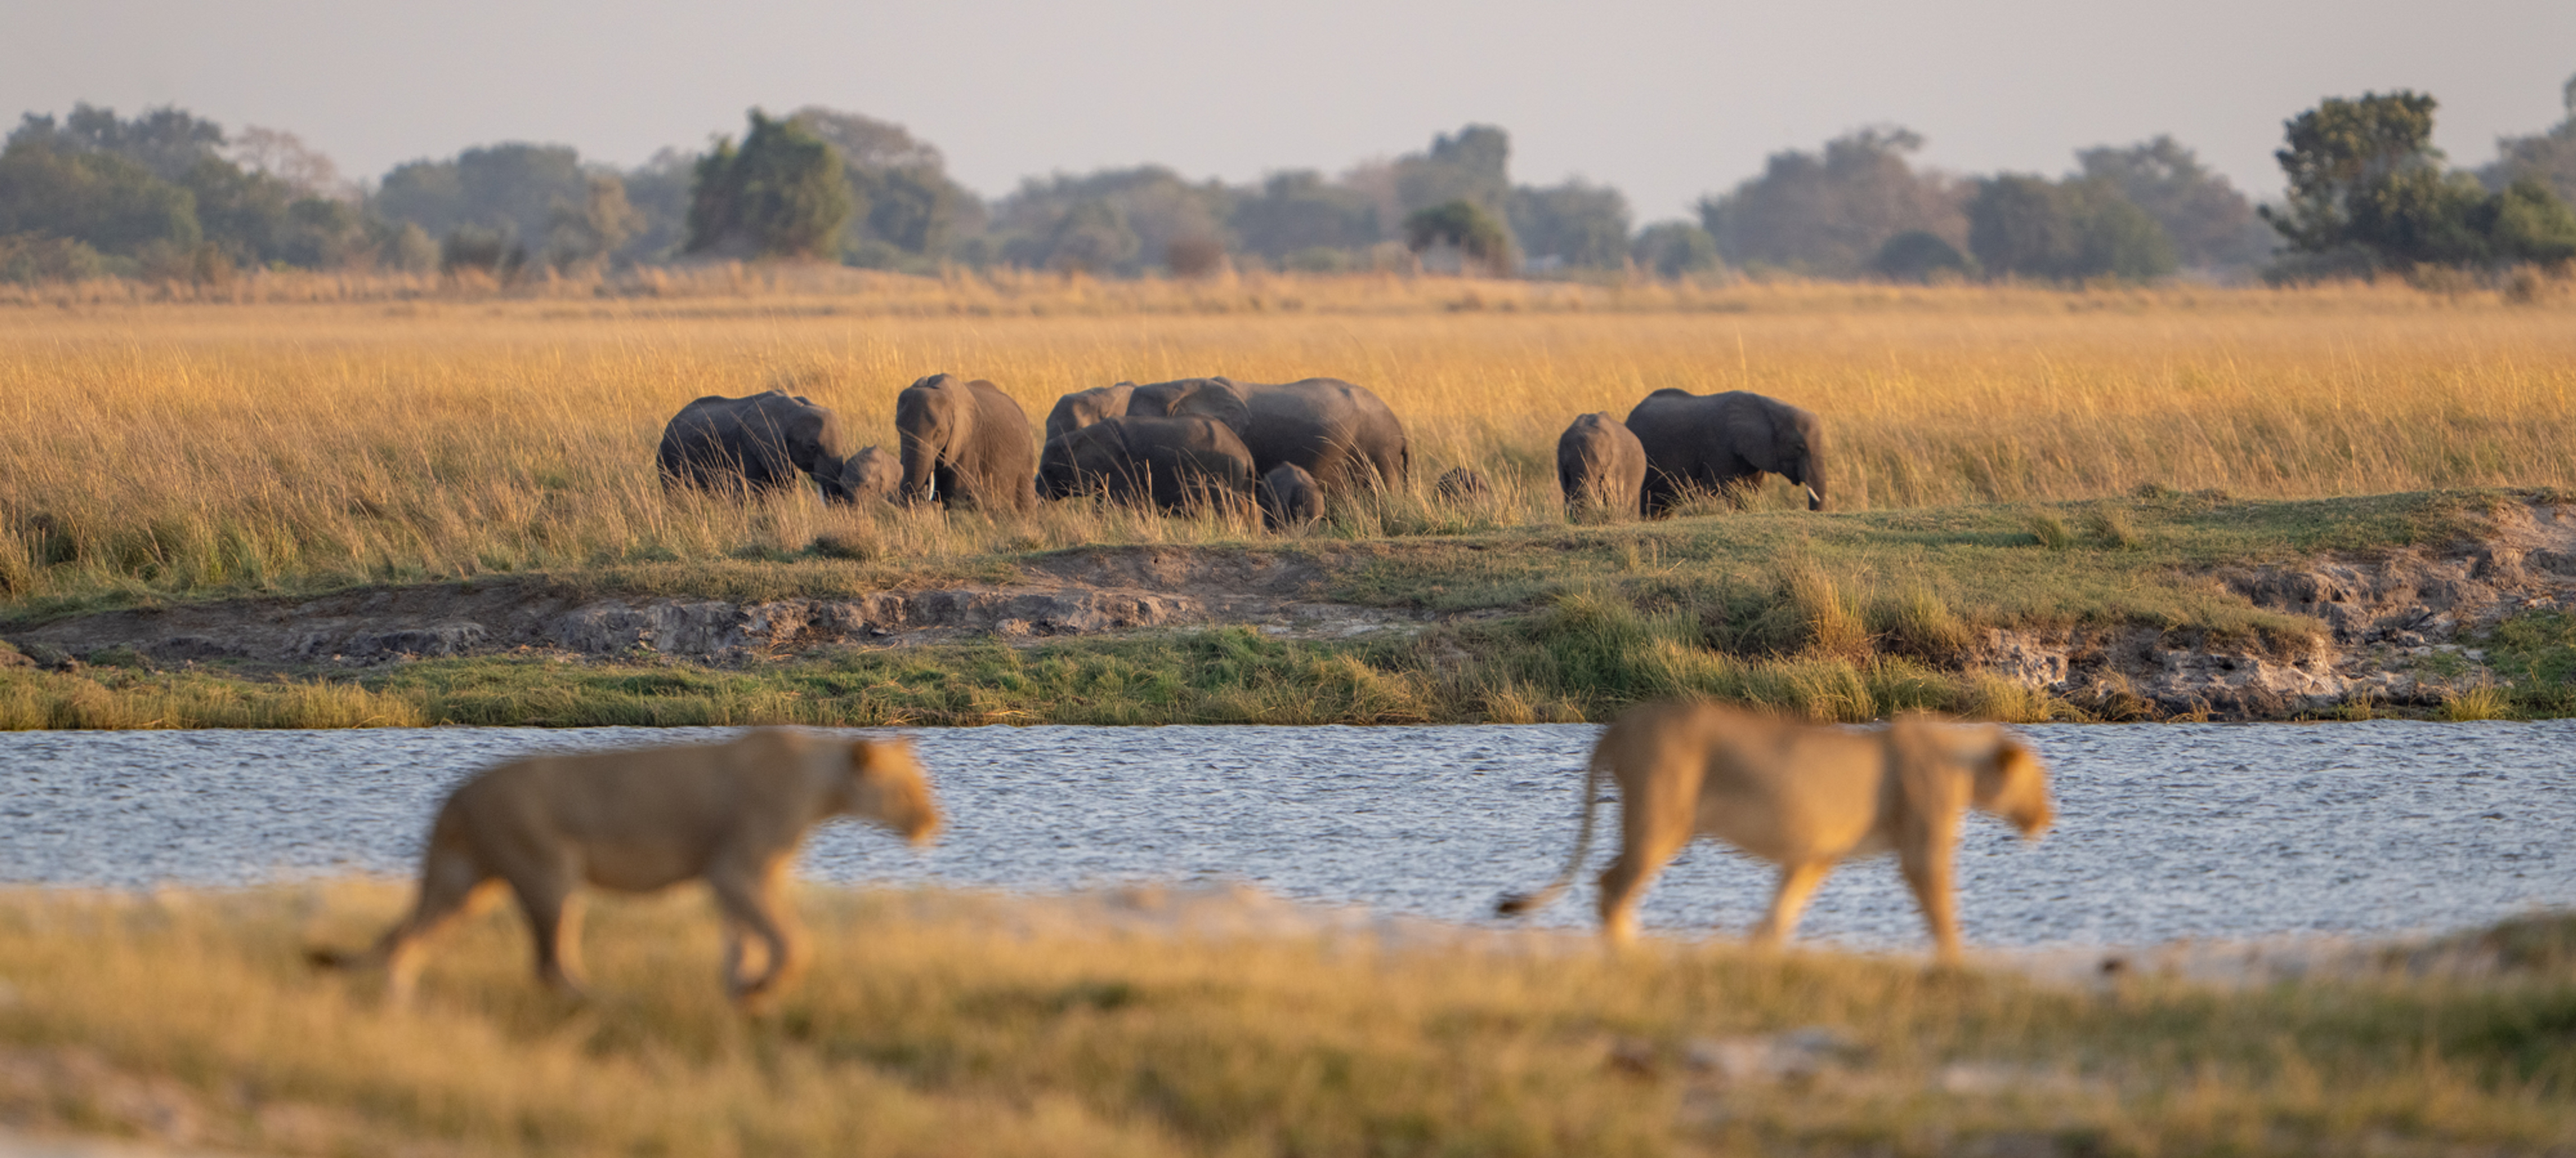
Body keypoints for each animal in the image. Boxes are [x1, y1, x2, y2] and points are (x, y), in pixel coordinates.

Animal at [310, 729, 941, 1008]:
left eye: (923, 782)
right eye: (905, 788)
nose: (934, 820)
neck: (819, 782)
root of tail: (456, 794)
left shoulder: (741, 876)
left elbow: (742, 940)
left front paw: (740, 991)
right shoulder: (736, 870)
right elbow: (792, 943)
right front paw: (762, 987)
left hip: (464, 882)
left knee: (404, 940)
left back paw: (400, 1005)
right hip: (549, 871)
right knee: (550, 963)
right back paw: (610, 1002)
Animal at [1497, 700, 2051, 962]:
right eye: (2040, 782)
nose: (2049, 818)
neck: (1963, 761)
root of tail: (1619, 725)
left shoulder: (1816, 854)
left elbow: (1781, 912)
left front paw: (1759, 952)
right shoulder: (1921, 847)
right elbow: (1942, 914)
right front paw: (1958, 961)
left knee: (1609, 881)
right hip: (1663, 818)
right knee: (1612, 883)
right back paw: (1634, 949)